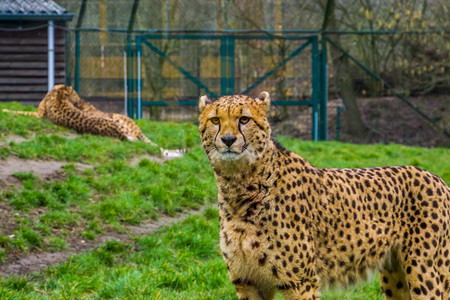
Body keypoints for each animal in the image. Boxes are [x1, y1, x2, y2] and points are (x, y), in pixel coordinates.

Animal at [3, 84, 185, 158]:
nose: (79, 99)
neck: (59, 93)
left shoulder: (39, 115)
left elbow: (19, 111)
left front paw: (4, 110)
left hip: (117, 117)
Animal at [199, 91, 450, 300]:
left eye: (244, 119)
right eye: (215, 120)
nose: (228, 140)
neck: (240, 190)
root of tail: (436, 177)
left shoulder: (300, 283)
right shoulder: (249, 283)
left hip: (424, 272)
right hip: (394, 276)